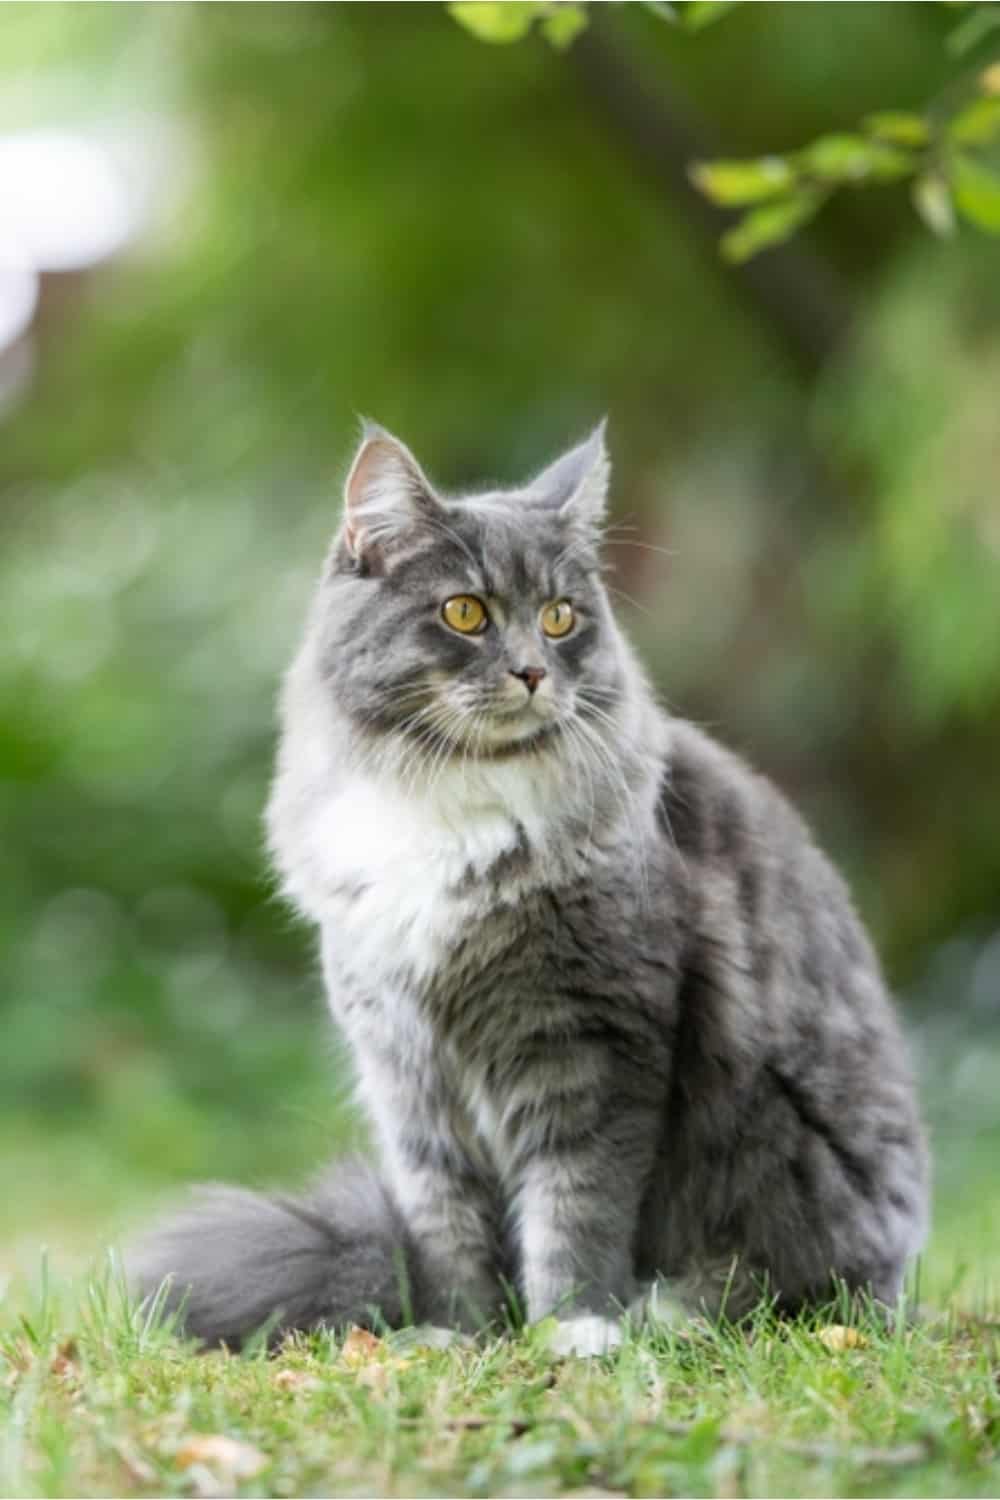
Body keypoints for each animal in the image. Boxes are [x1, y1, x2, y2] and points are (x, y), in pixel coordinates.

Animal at [132, 423, 929, 1362]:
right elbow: (447, 1224)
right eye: (465, 612)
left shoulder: (590, 1045)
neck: (448, 798)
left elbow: (574, 1206)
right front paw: (463, 1335)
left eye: (559, 617)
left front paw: (573, 1328)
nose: (532, 673)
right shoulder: (408, 1071)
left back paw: (671, 1309)